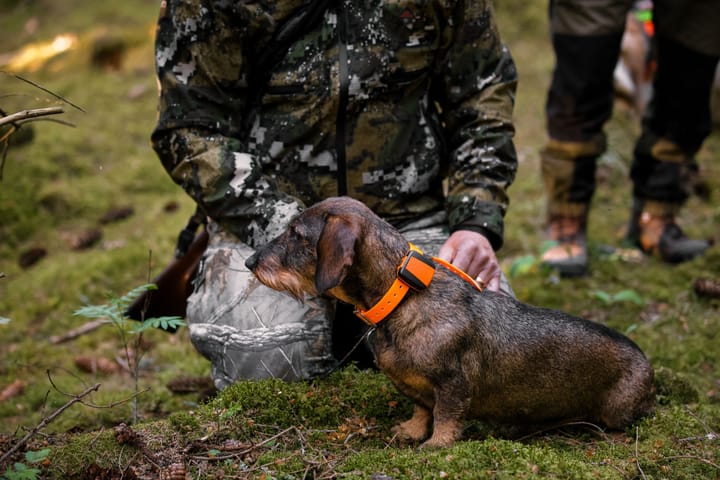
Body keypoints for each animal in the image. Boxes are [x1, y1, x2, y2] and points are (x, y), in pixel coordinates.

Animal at [245, 197, 656, 448]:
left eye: (296, 235)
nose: (251, 262)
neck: (402, 299)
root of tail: (647, 363)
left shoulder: (453, 384)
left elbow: (445, 415)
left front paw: (437, 445)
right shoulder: (417, 386)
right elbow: (422, 409)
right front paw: (411, 431)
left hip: (618, 411)